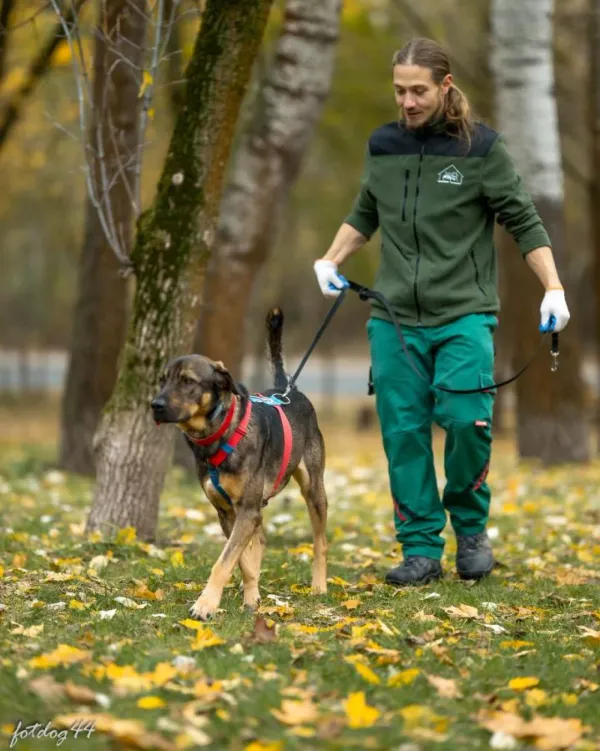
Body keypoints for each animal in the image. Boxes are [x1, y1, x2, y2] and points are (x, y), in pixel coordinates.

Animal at [150, 308, 328, 620]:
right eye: (163, 380)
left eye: (188, 381)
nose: (155, 406)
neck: (218, 434)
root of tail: (286, 390)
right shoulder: (228, 512)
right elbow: (240, 558)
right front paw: (251, 595)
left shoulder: (246, 509)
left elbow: (225, 560)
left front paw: (205, 605)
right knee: (261, 539)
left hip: (314, 489)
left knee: (319, 540)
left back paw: (319, 585)